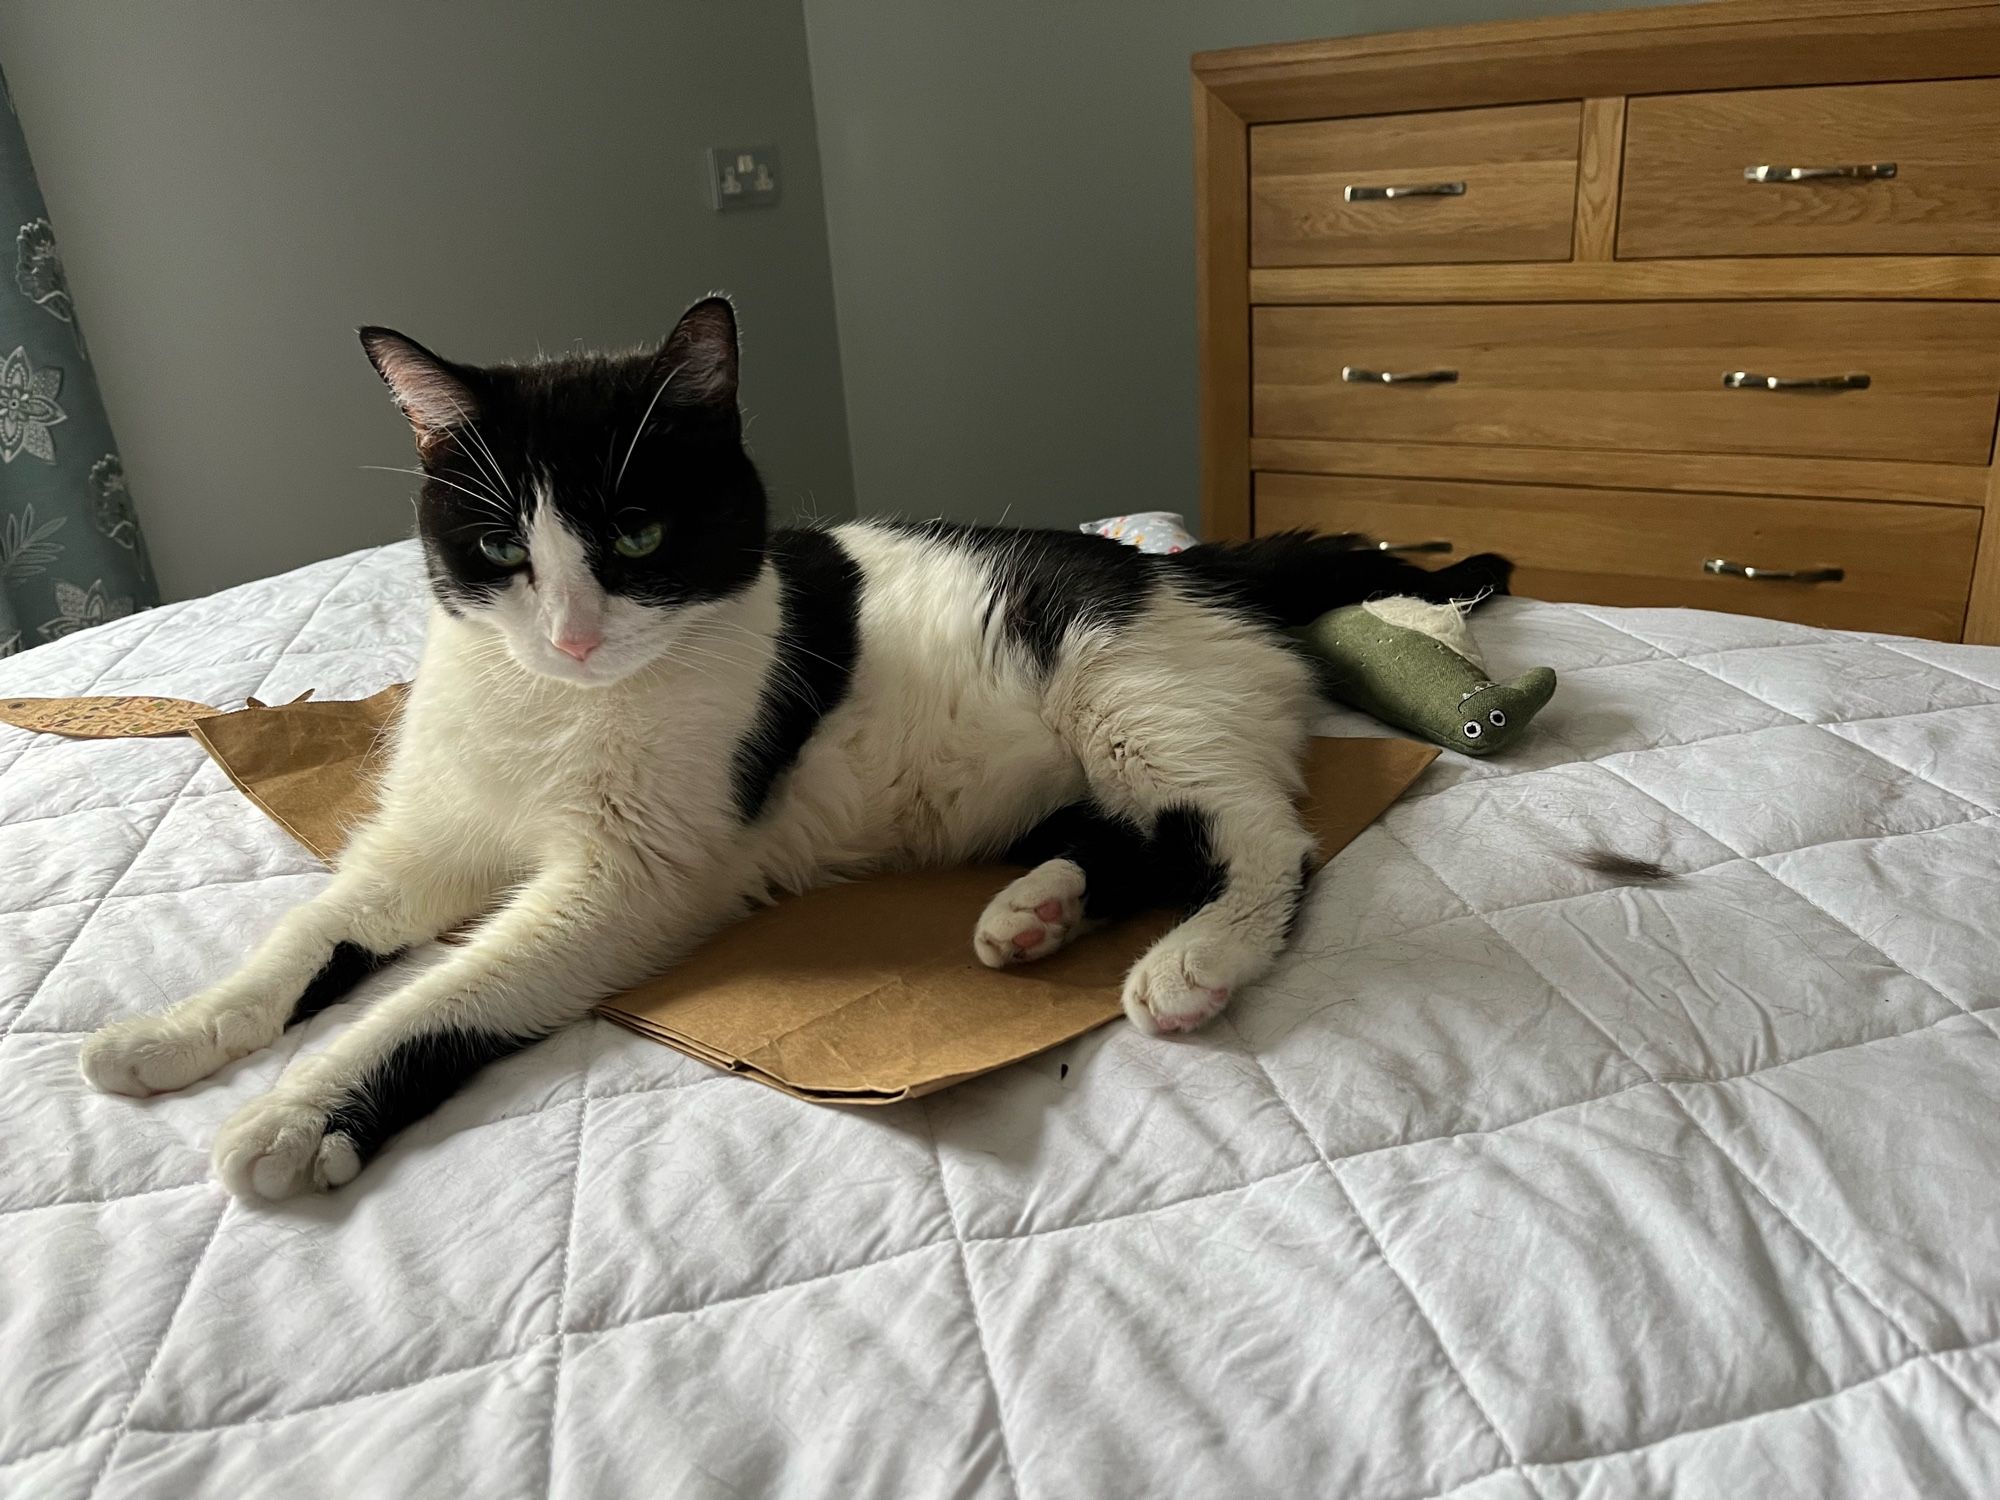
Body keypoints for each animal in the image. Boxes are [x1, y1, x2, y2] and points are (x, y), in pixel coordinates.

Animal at [86, 300, 1504, 1208]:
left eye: (639, 534)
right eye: (496, 549)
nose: (572, 632)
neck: (555, 711)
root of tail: (1198, 567)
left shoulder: (630, 880)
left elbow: (439, 993)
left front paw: (296, 1115)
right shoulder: (428, 833)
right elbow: (312, 934)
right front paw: (170, 1034)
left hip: (1123, 693)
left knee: (1259, 838)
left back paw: (1193, 962)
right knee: (1133, 837)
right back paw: (1031, 914)